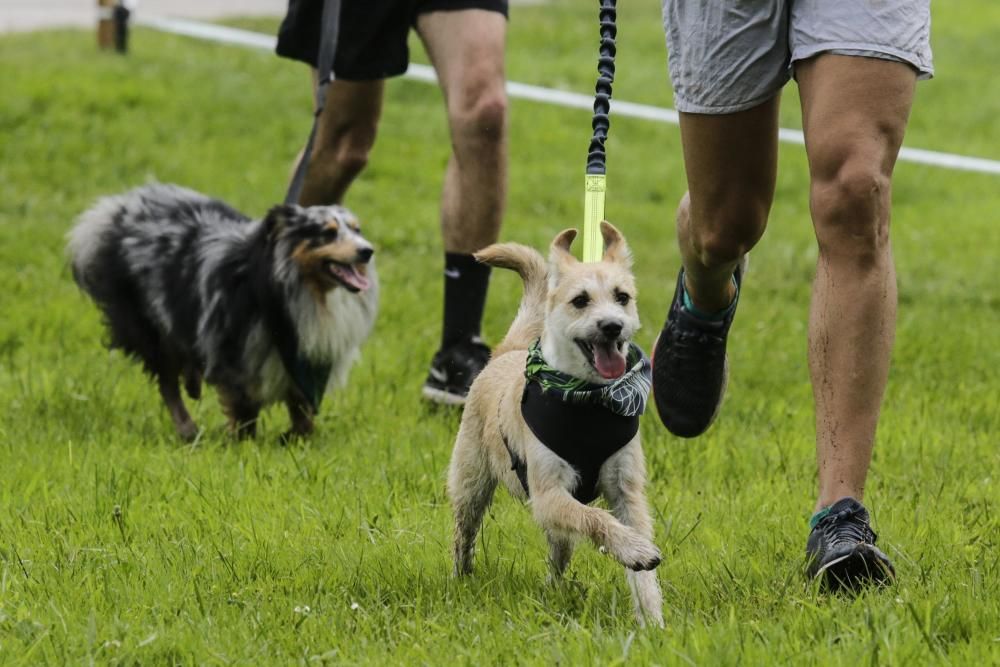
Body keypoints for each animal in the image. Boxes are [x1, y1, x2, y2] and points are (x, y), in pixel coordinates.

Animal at [67, 185, 378, 440]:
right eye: (328, 233)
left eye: (357, 230)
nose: (368, 251)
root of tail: (115, 209)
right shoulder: (234, 353)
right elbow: (244, 409)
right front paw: (245, 443)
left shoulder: (307, 362)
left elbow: (302, 411)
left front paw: (296, 439)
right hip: (148, 328)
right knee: (167, 382)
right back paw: (188, 430)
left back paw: (193, 384)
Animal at [448, 223, 664, 628]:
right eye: (580, 300)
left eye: (622, 297)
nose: (612, 326)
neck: (591, 400)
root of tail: (508, 351)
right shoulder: (547, 495)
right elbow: (594, 516)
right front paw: (632, 549)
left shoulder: (627, 492)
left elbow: (637, 558)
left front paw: (651, 617)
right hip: (470, 483)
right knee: (464, 533)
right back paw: (460, 575)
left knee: (560, 551)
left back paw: (553, 590)